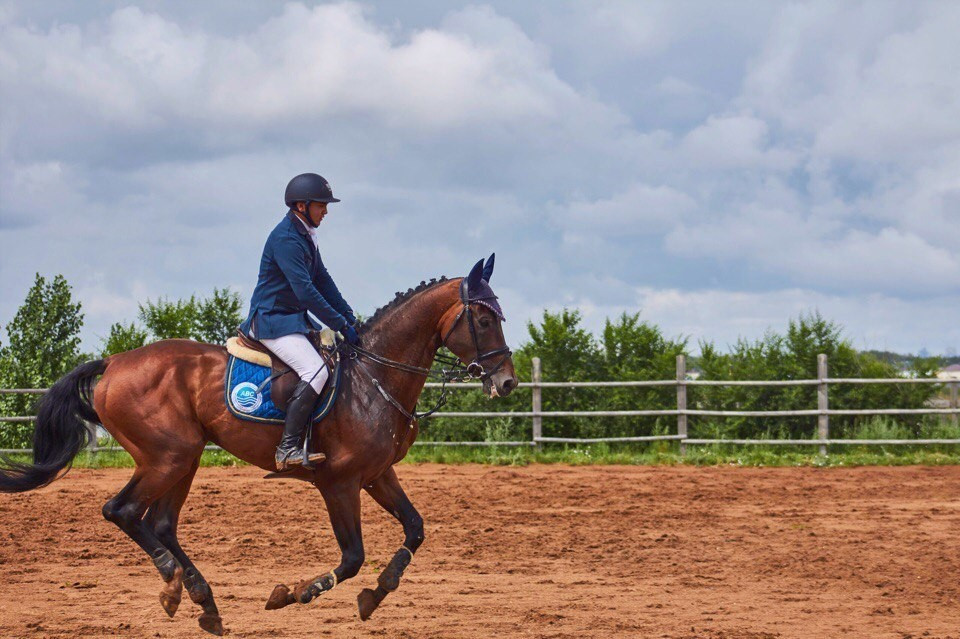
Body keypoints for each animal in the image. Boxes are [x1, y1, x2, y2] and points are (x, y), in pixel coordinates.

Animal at [0, 255, 516, 636]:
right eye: (483, 318)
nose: (507, 382)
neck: (375, 378)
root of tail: (112, 363)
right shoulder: (339, 482)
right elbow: (352, 557)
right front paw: (296, 593)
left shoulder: (377, 475)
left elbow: (415, 528)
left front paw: (376, 593)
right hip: (167, 458)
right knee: (122, 511)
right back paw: (173, 584)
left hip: (183, 458)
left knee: (161, 523)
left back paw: (203, 602)